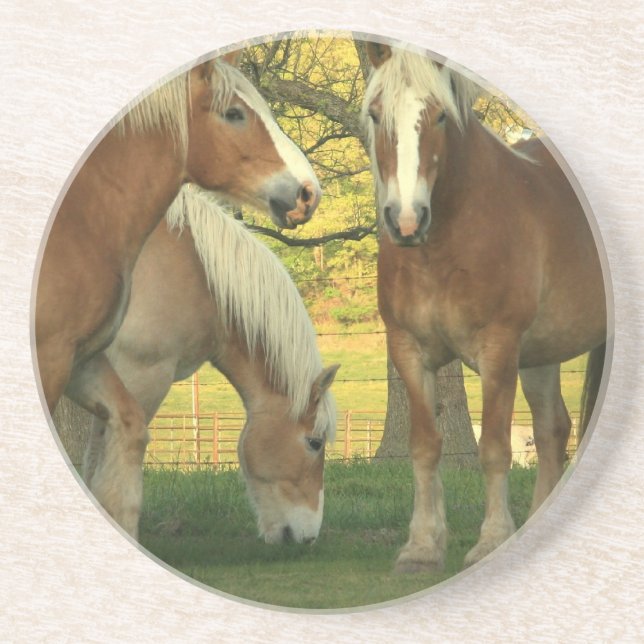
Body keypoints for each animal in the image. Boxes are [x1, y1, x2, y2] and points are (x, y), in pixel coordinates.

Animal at [363, 42, 607, 572]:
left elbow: (494, 447)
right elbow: (424, 447)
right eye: (375, 114)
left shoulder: (498, 350)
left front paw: (491, 540)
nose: (406, 220)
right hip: (540, 355)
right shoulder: (408, 350)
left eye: (438, 116)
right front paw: (422, 546)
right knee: (552, 431)